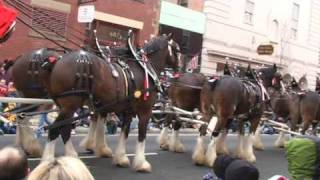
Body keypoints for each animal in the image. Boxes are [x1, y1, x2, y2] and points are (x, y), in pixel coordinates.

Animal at [43, 34, 181, 172]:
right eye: (177, 50)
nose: (179, 69)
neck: (145, 69)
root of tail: (57, 61)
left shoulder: (127, 111)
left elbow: (124, 132)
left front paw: (120, 158)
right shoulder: (145, 111)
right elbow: (141, 135)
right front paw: (141, 163)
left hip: (66, 106)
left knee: (64, 128)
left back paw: (72, 157)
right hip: (70, 106)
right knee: (55, 129)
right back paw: (49, 161)